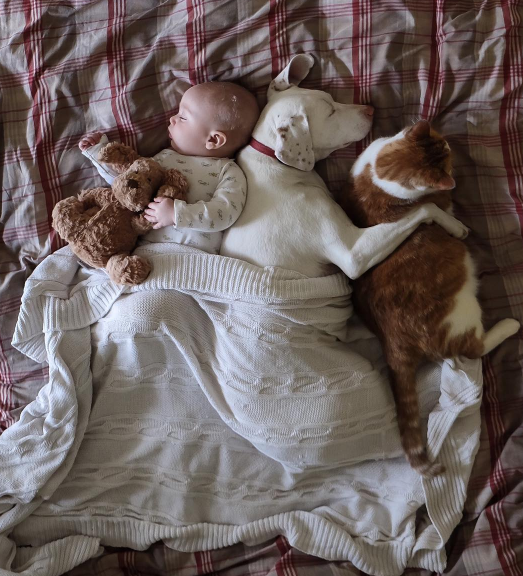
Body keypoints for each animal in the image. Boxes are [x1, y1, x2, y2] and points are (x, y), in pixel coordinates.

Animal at [220, 53, 466, 276]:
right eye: (330, 112)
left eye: (332, 99)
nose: (371, 109)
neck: (276, 162)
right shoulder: (353, 254)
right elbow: (423, 208)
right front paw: (454, 224)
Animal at [340, 120, 520, 476]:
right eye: (448, 156)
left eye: (442, 142)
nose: (449, 143)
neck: (378, 176)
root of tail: (391, 342)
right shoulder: (434, 202)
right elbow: (436, 208)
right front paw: (453, 220)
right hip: (461, 310)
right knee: (473, 347)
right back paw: (510, 324)